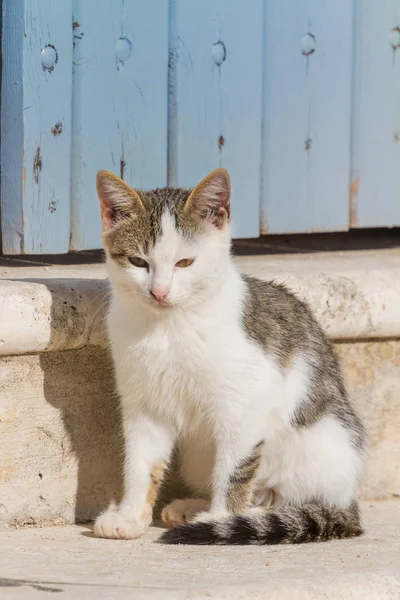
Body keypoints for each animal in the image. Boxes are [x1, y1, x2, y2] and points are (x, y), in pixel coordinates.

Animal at [93, 168, 366, 544]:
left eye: (185, 262)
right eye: (137, 261)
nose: (159, 292)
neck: (168, 328)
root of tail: (349, 500)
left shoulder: (246, 401)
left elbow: (233, 467)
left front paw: (221, 519)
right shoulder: (143, 400)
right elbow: (140, 462)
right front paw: (130, 516)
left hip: (322, 444)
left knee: (287, 496)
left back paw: (249, 514)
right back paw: (193, 507)